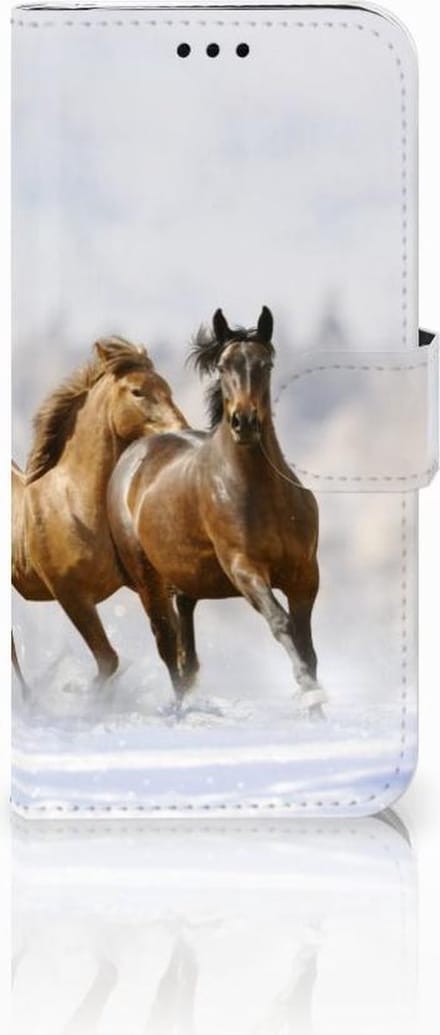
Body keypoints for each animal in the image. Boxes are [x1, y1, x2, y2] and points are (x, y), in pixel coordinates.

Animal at [12, 336, 187, 690]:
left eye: (167, 388)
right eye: (137, 391)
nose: (181, 429)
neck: (75, 505)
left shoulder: (146, 584)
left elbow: (170, 644)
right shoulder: (72, 595)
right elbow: (108, 660)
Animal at [107, 308, 326, 714]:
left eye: (266, 364)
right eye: (224, 366)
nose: (244, 422)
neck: (263, 495)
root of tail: (134, 455)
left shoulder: (305, 575)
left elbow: (306, 643)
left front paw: (316, 706)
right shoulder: (244, 569)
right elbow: (281, 623)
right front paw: (308, 691)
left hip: (186, 579)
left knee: (185, 648)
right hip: (148, 580)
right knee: (167, 644)